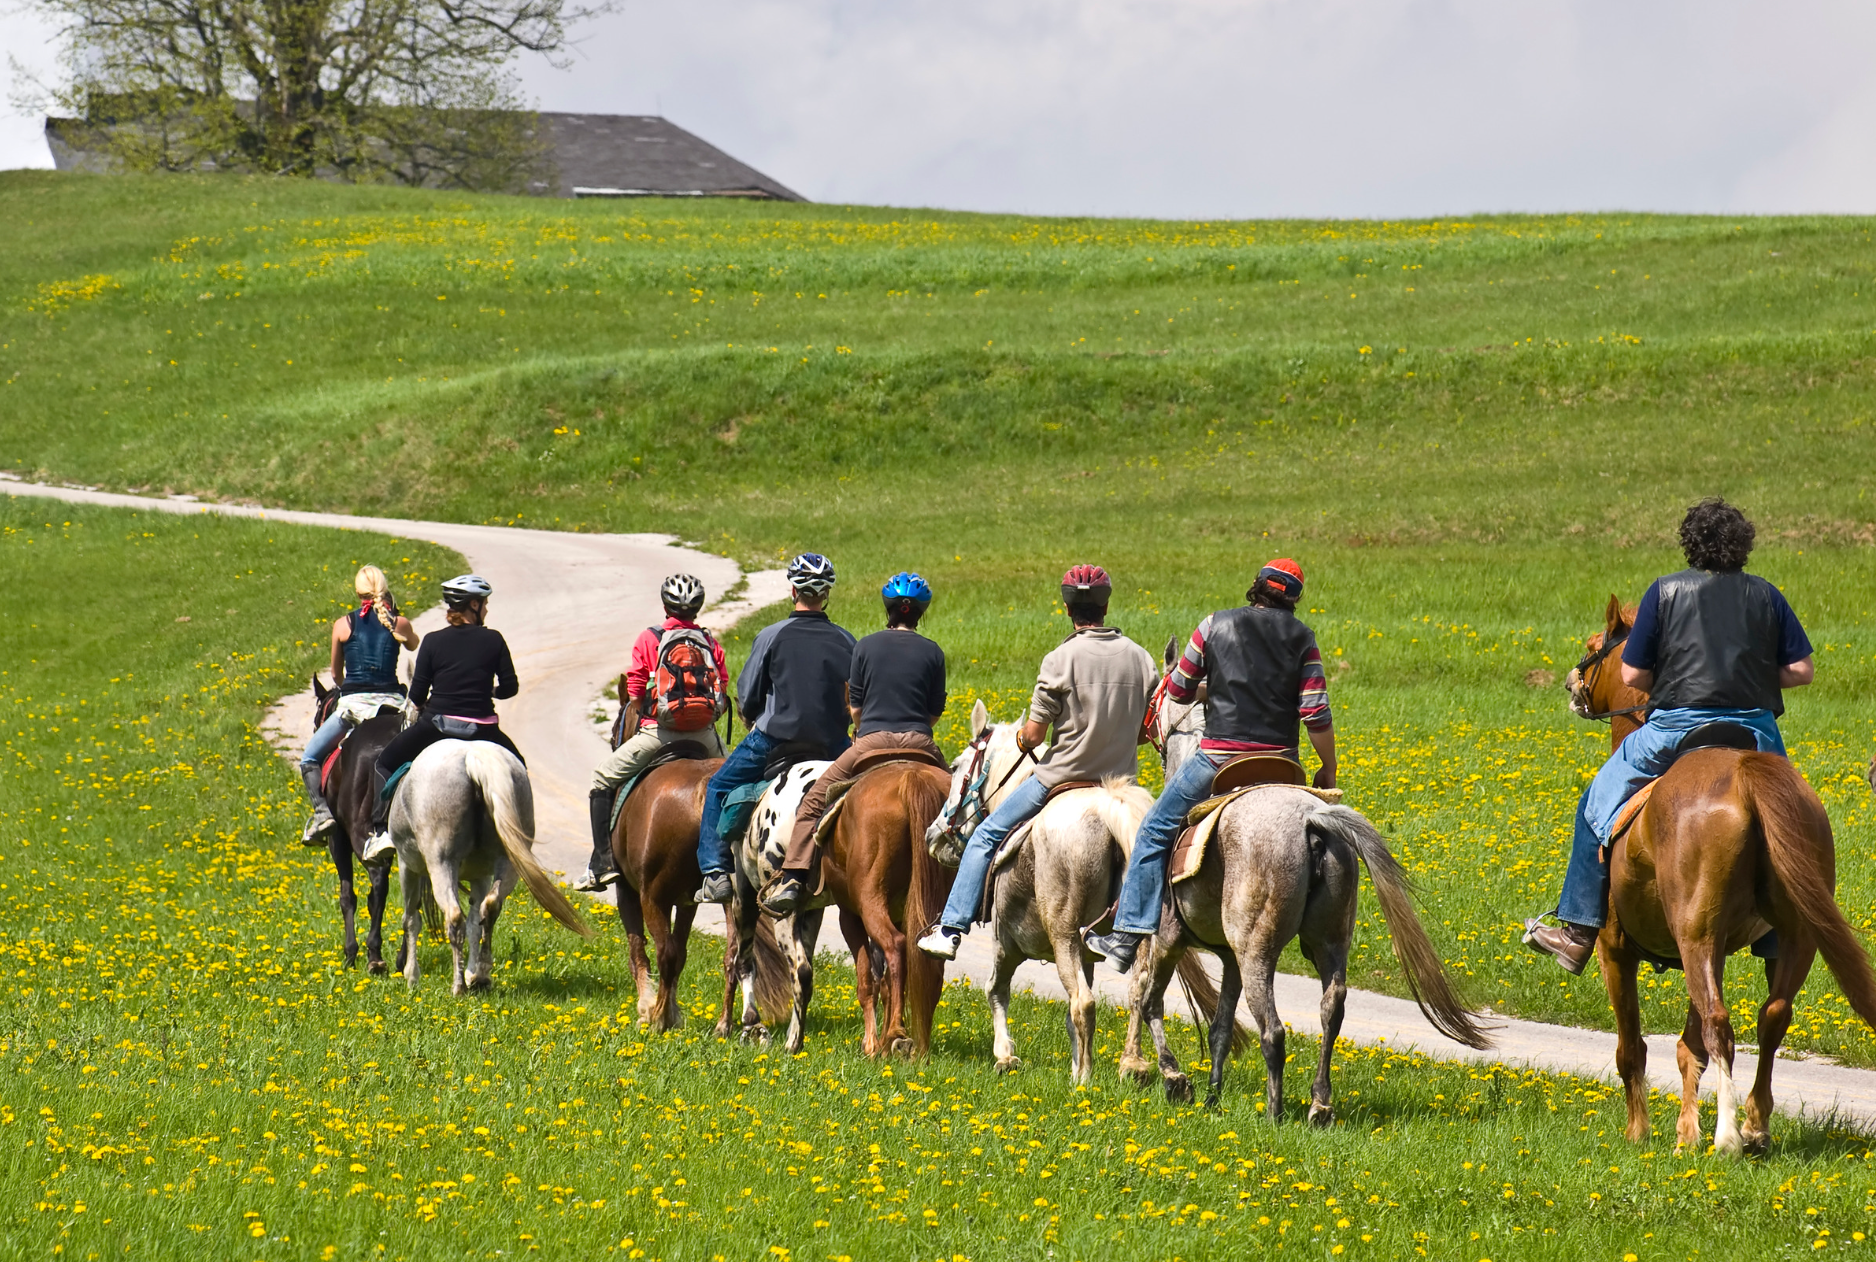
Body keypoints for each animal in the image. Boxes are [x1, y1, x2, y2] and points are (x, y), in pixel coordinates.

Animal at [393, 740, 592, 993]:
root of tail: (473, 756)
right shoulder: (480, 876)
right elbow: (474, 924)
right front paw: (472, 972)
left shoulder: (407, 867)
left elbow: (411, 920)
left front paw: (412, 976)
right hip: (508, 863)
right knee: (490, 907)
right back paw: (482, 975)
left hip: (441, 864)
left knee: (454, 917)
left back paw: (458, 986)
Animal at [1122, 648, 1491, 1115]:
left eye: (1153, 697)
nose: (1141, 731)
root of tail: (1312, 819)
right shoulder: (1228, 959)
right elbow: (1220, 1027)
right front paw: (1211, 1096)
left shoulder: (1170, 937)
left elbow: (1152, 1001)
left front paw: (1176, 1080)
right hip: (1327, 942)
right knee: (1331, 1012)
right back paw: (1320, 1105)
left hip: (1257, 951)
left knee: (1273, 1030)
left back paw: (1275, 1112)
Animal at [1566, 595, 1876, 1154]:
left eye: (1594, 645)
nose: (1571, 684)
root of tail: (1746, 772)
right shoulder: (1717, 949)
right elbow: (1688, 1047)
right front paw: (1684, 1134)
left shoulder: (1615, 949)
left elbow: (1633, 1047)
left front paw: (1642, 1132)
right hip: (1791, 935)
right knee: (1772, 1016)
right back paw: (1755, 1125)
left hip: (1695, 936)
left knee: (1719, 1022)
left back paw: (1728, 1133)